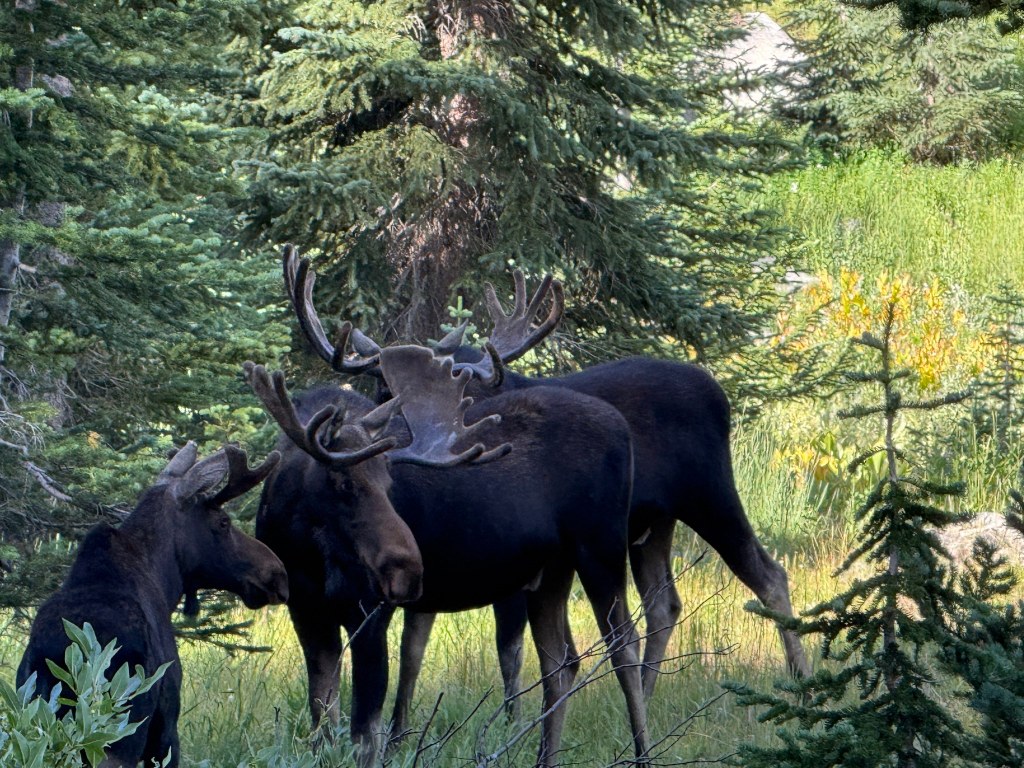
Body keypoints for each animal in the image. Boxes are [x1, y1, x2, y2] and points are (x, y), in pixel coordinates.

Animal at [16, 443, 289, 768]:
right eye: (223, 522)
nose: (277, 574)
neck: (164, 581)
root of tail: (62, 653)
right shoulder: (166, 725)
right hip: (116, 733)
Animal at [247, 335, 649, 766]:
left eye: (389, 481)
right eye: (343, 483)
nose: (407, 569)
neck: (304, 549)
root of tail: (623, 427)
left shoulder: (370, 612)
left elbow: (364, 735)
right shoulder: (307, 611)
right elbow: (321, 722)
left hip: (601, 549)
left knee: (625, 646)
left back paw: (643, 753)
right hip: (550, 571)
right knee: (559, 662)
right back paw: (546, 757)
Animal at [279, 246, 809, 737]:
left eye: (462, 383)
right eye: (383, 385)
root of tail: (720, 393)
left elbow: (508, 649)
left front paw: (512, 720)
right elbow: (413, 652)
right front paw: (401, 732)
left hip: (709, 494)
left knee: (769, 575)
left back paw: (800, 683)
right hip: (653, 524)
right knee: (664, 603)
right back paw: (647, 696)